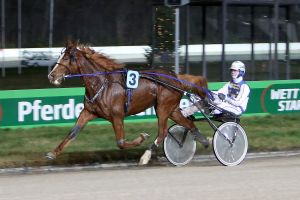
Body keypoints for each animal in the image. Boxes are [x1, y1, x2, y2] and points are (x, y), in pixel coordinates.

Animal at [47, 40, 209, 164]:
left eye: (67, 58)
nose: (51, 75)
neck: (101, 84)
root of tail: (176, 77)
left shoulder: (117, 116)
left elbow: (121, 142)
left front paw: (142, 138)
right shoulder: (88, 112)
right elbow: (72, 133)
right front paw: (53, 153)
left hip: (163, 108)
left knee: (162, 132)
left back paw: (145, 156)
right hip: (172, 109)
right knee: (190, 124)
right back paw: (204, 141)